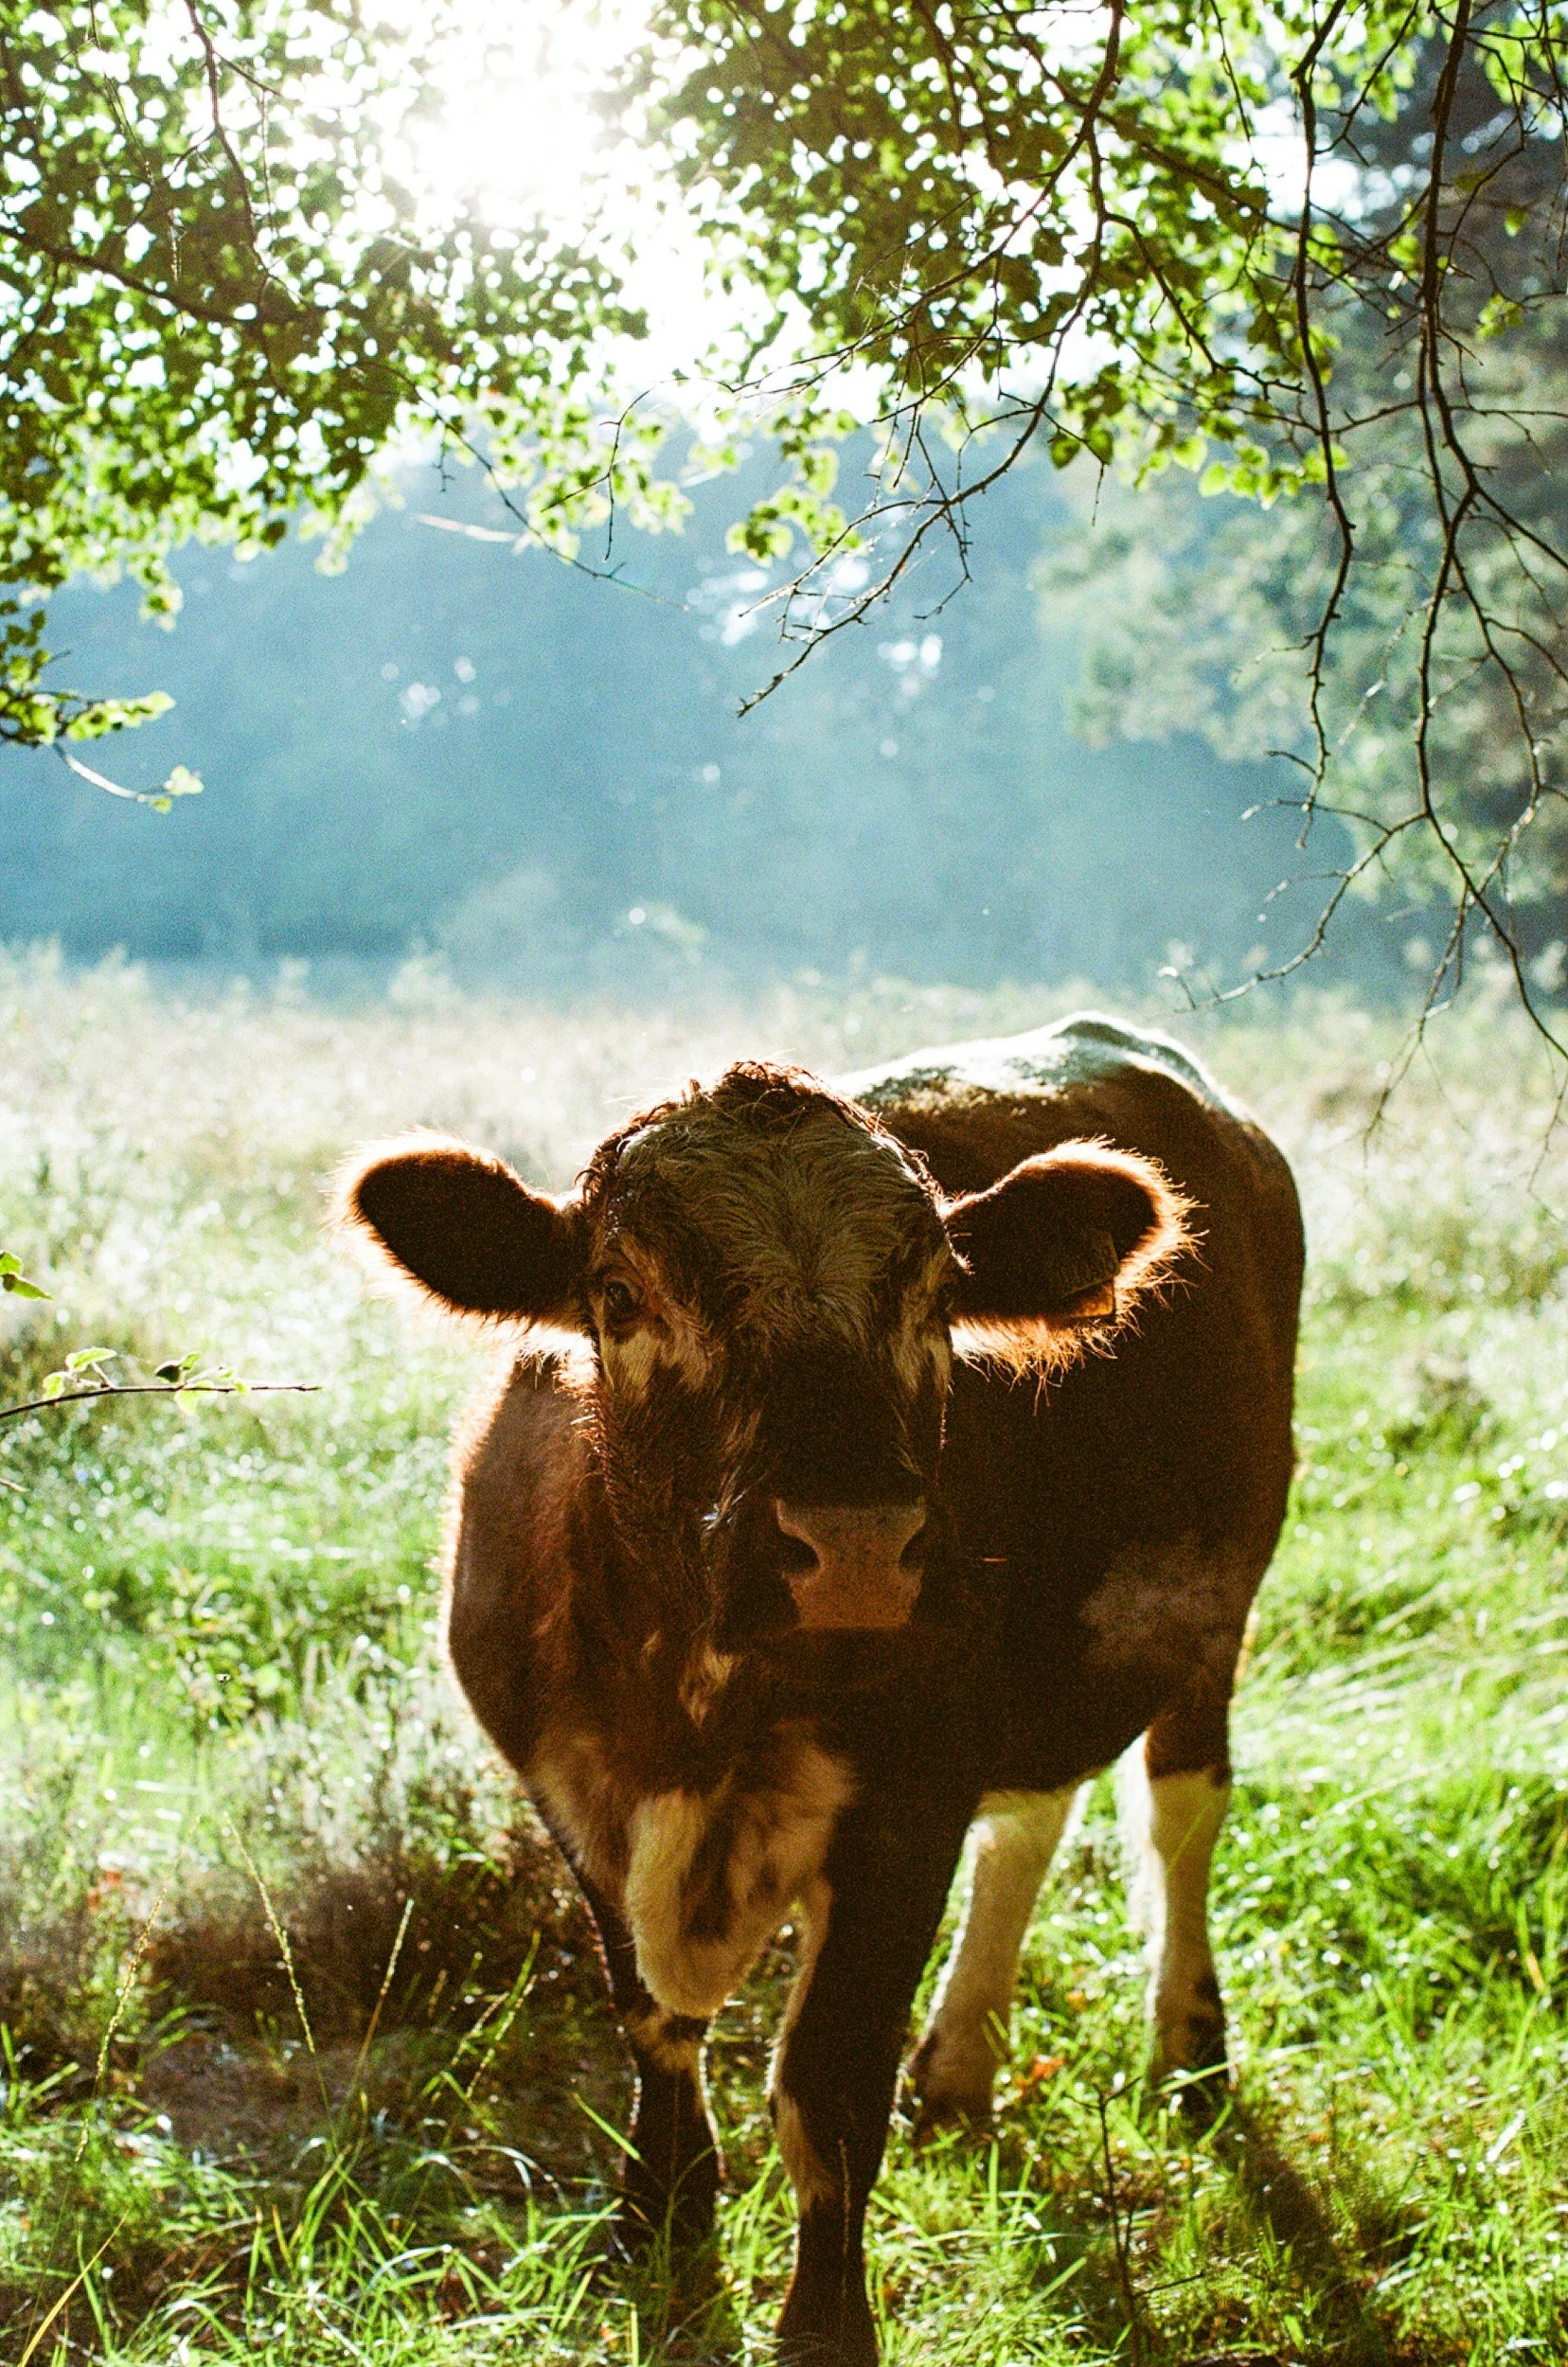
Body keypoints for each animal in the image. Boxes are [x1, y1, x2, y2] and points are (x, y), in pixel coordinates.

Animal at [340, 1013, 1302, 2367]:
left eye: (939, 1296)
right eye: (621, 1295)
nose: (853, 1542)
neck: (694, 1719)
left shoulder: (908, 1804)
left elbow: (827, 2087)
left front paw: (826, 2317)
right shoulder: (569, 1792)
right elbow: (651, 2020)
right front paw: (663, 2216)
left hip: (1218, 1602)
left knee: (1181, 1811)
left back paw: (1189, 2041)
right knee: (1035, 1817)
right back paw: (961, 2060)